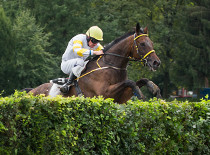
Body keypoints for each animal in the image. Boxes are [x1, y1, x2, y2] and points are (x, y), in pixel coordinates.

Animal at [28, 23, 161, 104]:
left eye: (152, 43)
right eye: (142, 44)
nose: (156, 62)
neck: (110, 66)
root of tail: (30, 91)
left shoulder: (121, 98)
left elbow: (140, 81)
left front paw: (154, 88)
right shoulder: (104, 93)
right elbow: (130, 82)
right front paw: (141, 94)